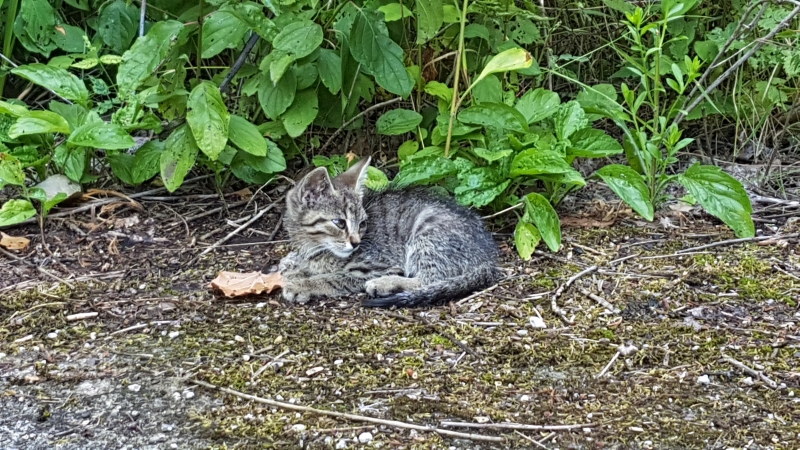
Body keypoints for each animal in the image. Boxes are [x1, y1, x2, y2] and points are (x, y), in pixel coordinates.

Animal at [278, 156, 501, 307]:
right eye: (340, 223)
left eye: (362, 224)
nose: (356, 243)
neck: (314, 247)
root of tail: (488, 258)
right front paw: (292, 268)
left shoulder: (380, 265)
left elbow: (335, 277)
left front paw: (303, 285)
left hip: (427, 231)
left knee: (430, 280)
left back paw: (385, 284)